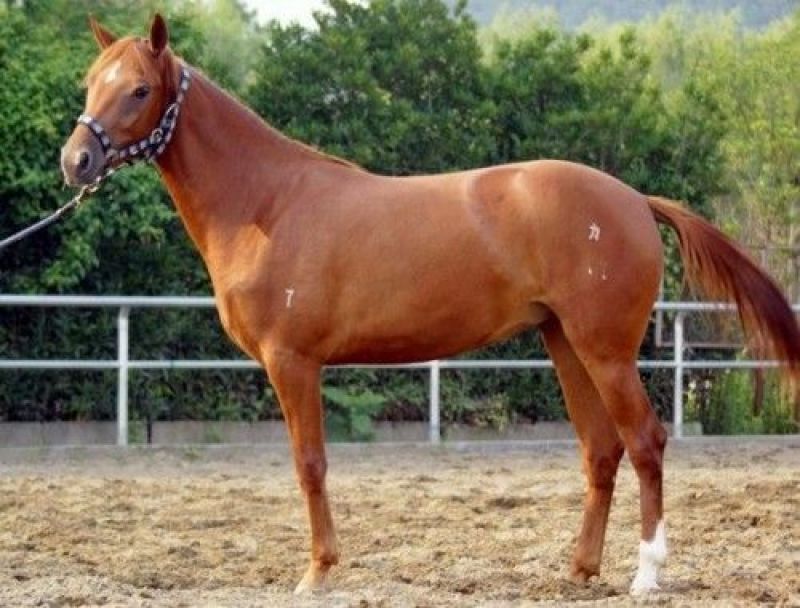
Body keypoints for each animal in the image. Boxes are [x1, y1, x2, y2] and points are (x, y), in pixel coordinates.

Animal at [60, 14, 800, 596]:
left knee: (645, 441)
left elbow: (310, 464)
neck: (267, 202)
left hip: (606, 350)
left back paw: (647, 574)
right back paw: (579, 569)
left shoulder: (293, 362)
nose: (76, 161)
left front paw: (318, 571)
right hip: (565, 344)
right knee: (600, 451)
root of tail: (633, 199)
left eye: (139, 89)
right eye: (91, 83)